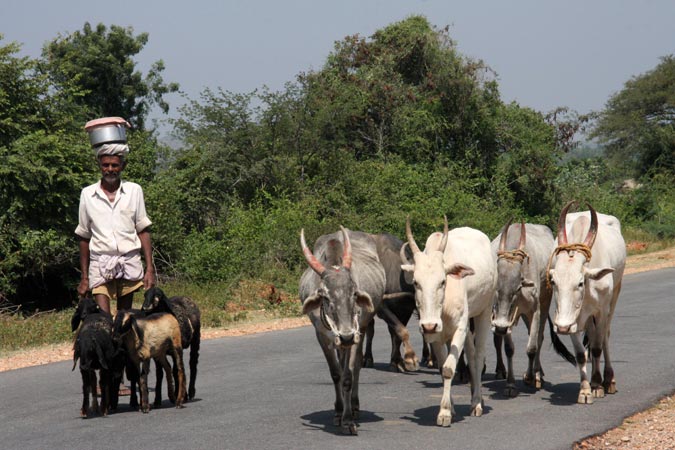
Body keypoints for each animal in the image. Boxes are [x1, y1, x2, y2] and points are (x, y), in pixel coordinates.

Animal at [300, 227, 386, 434]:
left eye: (354, 292)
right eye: (325, 296)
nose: (345, 336)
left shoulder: (355, 333)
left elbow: (347, 375)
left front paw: (348, 419)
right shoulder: (322, 336)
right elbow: (336, 374)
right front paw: (339, 412)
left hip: (361, 329)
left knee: (356, 366)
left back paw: (354, 406)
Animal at [492, 220, 576, 396]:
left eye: (517, 287)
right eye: (497, 287)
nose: (500, 328)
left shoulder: (535, 310)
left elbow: (532, 347)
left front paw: (530, 377)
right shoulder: (507, 318)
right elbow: (509, 348)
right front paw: (510, 384)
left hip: (544, 303)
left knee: (539, 337)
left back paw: (538, 373)